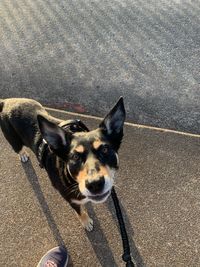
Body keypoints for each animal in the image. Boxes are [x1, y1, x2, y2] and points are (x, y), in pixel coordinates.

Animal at [0, 97, 125, 231]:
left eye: (105, 150)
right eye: (75, 157)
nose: (95, 184)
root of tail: (6, 101)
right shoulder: (71, 200)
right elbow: (80, 212)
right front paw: (86, 222)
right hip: (14, 141)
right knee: (18, 148)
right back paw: (23, 154)